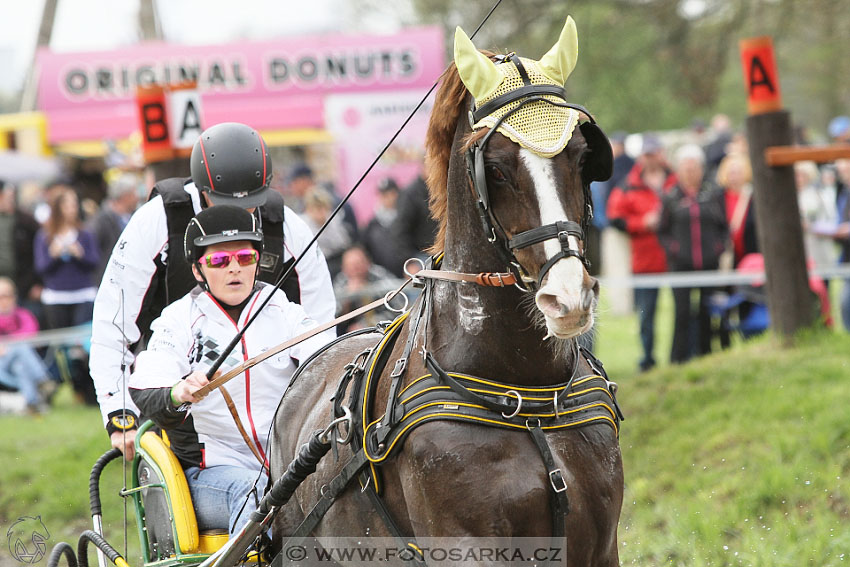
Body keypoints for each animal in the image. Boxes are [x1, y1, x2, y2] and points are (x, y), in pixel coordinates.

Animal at [270, 17, 624, 567]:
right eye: (495, 167)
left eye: (582, 156)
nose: (568, 298)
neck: (528, 400)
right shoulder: (467, 546)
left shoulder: (601, 544)